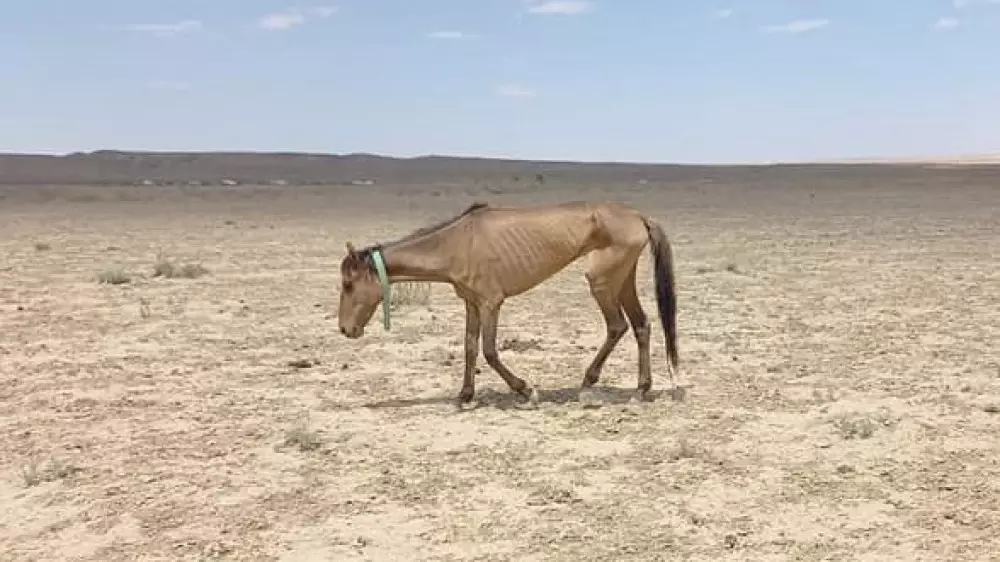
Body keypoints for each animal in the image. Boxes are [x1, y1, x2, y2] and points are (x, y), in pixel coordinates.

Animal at [337, 200, 679, 406]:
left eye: (348, 284)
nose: (344, 329)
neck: (456, 243)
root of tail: (639, 216)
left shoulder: (491, 303)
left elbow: (489, 351)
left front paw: (526, 389)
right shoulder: (472, 304)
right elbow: (470, 347)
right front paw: (465, 394)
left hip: (602, 281)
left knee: (618, 325)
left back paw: (591, 381)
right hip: (622, 280)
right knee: (641, 325)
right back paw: (641, 388)